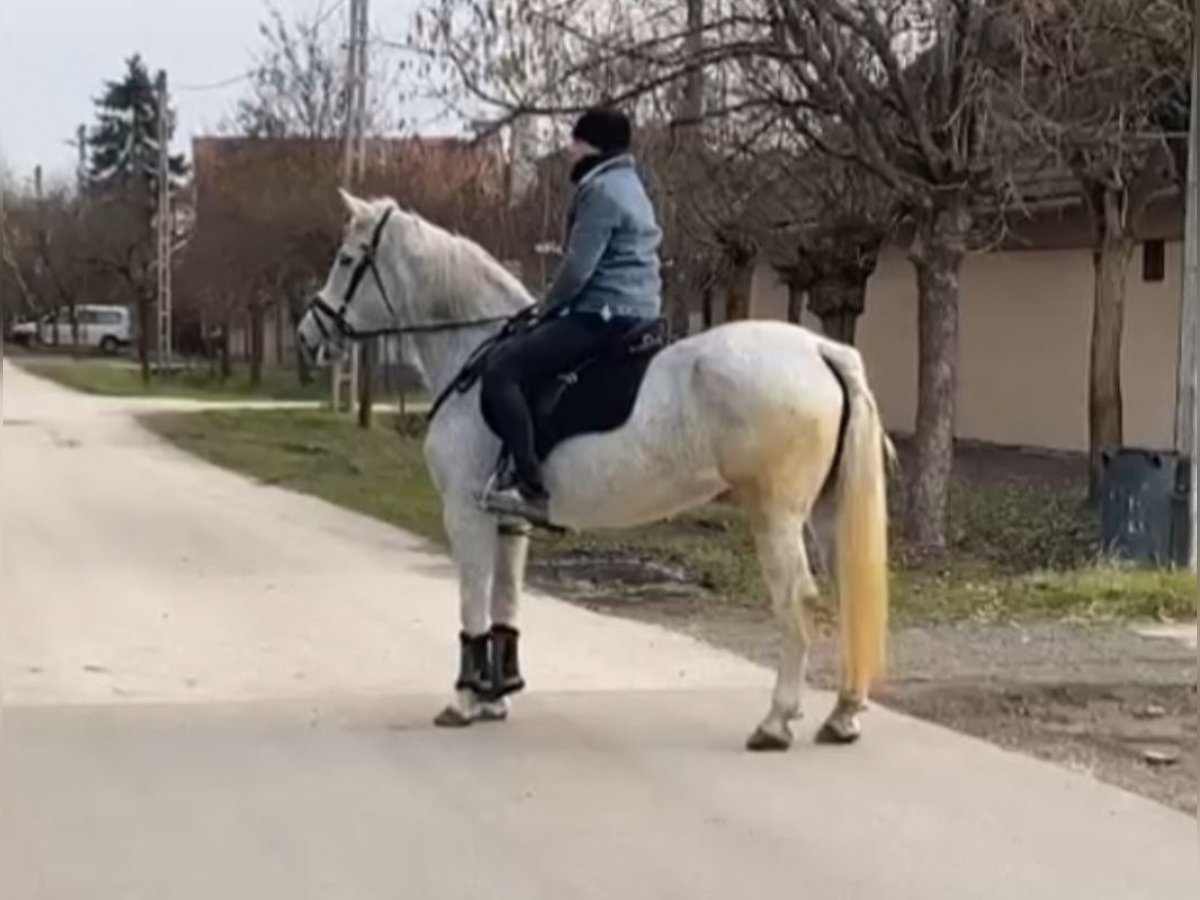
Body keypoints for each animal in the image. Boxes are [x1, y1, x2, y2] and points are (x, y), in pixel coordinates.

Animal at [295, 192, 888, 753]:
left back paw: (775, 722)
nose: (307, 335)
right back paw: (842, 715)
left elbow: (471, 601)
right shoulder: (509, 520)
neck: (475, 355)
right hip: (825, 513)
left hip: (776, 514)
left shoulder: (464, 513)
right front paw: (496, 696)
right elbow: (504, 599)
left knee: (797, 601)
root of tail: (819, 349)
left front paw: (463, 702)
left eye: (346, 258)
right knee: (846, 595)